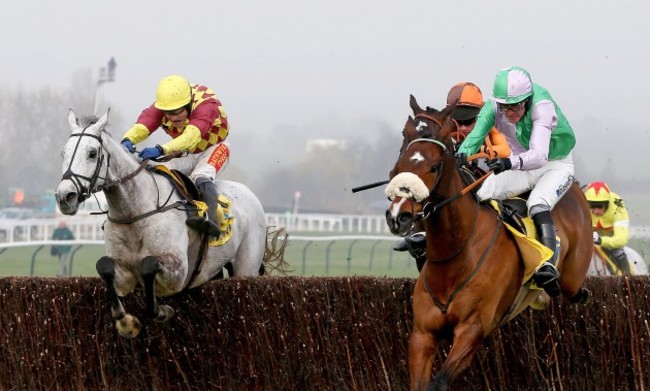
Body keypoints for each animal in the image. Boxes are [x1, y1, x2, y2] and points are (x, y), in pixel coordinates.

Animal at [384, 95, 592, 391]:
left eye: (433, 167)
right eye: (399, 166)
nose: (397, 216)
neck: (455, 253)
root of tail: (575, 189)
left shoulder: (472, 330)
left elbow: (438, 383)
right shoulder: (422, 334)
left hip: (572, 273)